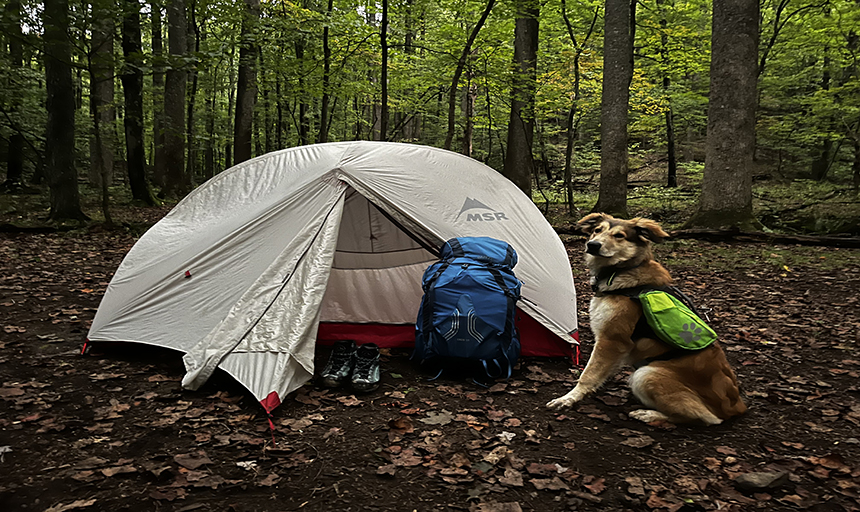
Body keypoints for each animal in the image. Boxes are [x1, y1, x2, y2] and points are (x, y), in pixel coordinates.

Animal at [552, 212, 744, 424]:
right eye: (597, 230)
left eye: (619, 236)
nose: (593, 245)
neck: (620, 271)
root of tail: (736, 407)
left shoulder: (612, 339)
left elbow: (588, 374)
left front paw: (569, 398)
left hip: (646, 374)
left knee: (701, 417)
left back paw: (648, 414)